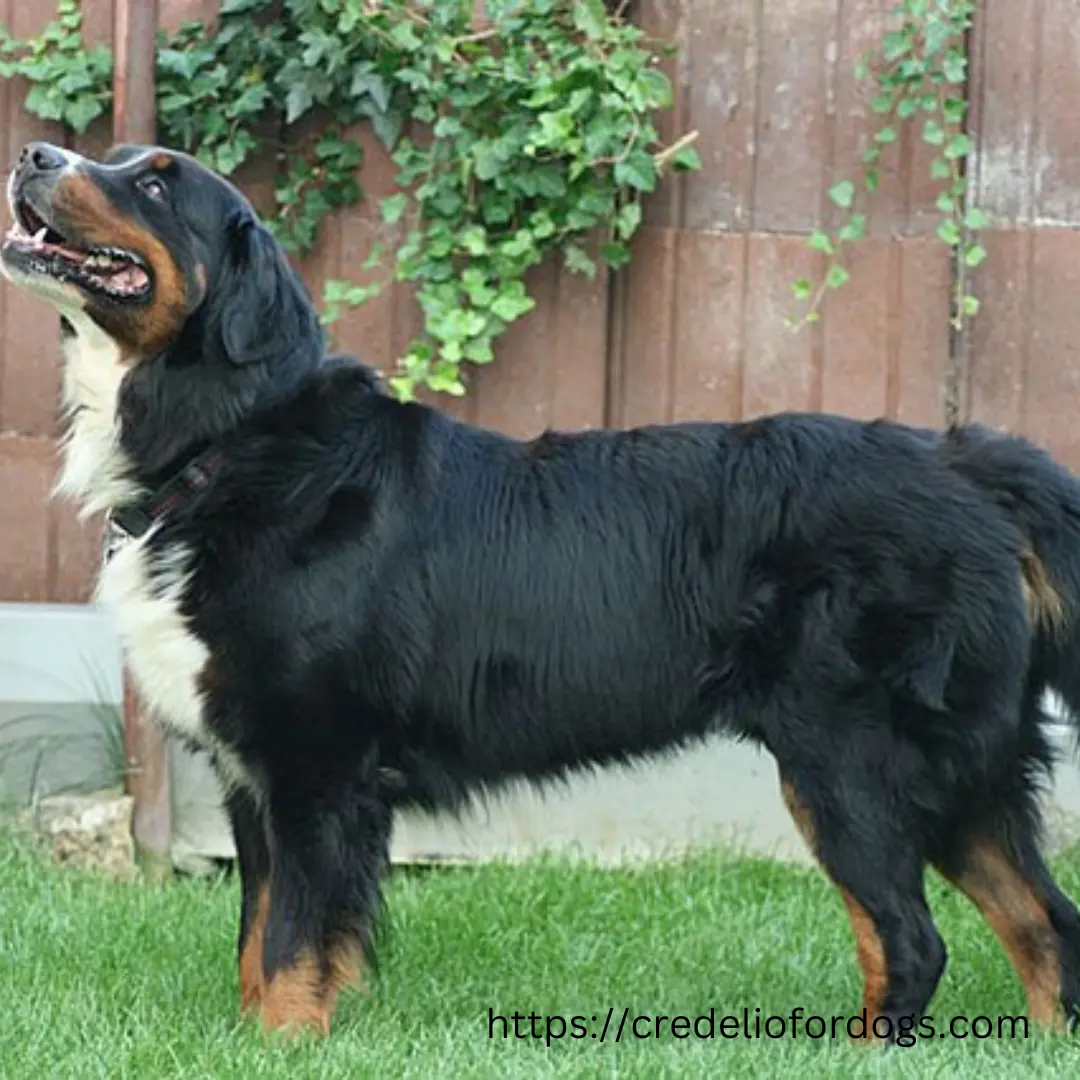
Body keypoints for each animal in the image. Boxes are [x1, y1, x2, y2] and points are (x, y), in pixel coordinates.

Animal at [6, 139, 1080, 1041]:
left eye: (155, 184)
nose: (35, 153)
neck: (233, 441)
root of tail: (969, 463)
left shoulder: (317, 769)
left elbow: (292, 948)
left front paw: (280, 1049)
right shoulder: (254, 780)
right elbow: (258, 943)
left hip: (852, 763)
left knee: (911, 941)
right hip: (961, 770)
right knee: (1047, 923)